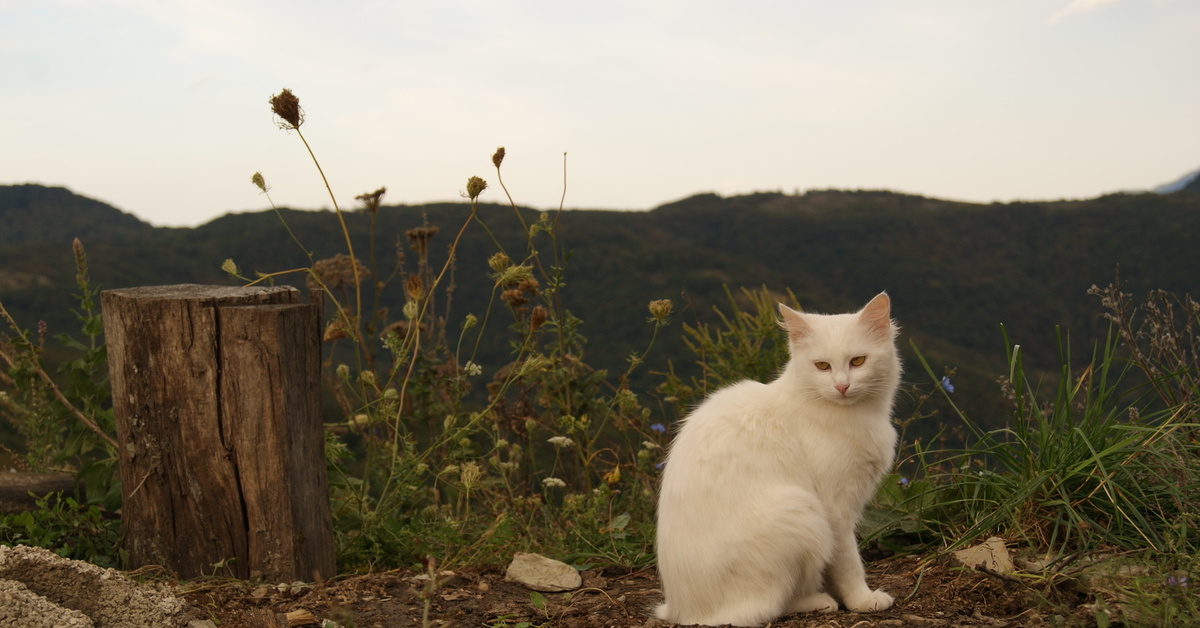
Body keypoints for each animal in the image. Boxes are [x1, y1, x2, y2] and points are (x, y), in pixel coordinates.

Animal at [657, 292, 902, 624]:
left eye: (858, 361)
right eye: (822, 366)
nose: (841, 386)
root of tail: (681, 609)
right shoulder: (836, 510)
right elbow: (849, 563)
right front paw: (862, 600)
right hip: (802, 512)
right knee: (772, 605)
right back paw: (818, 600)